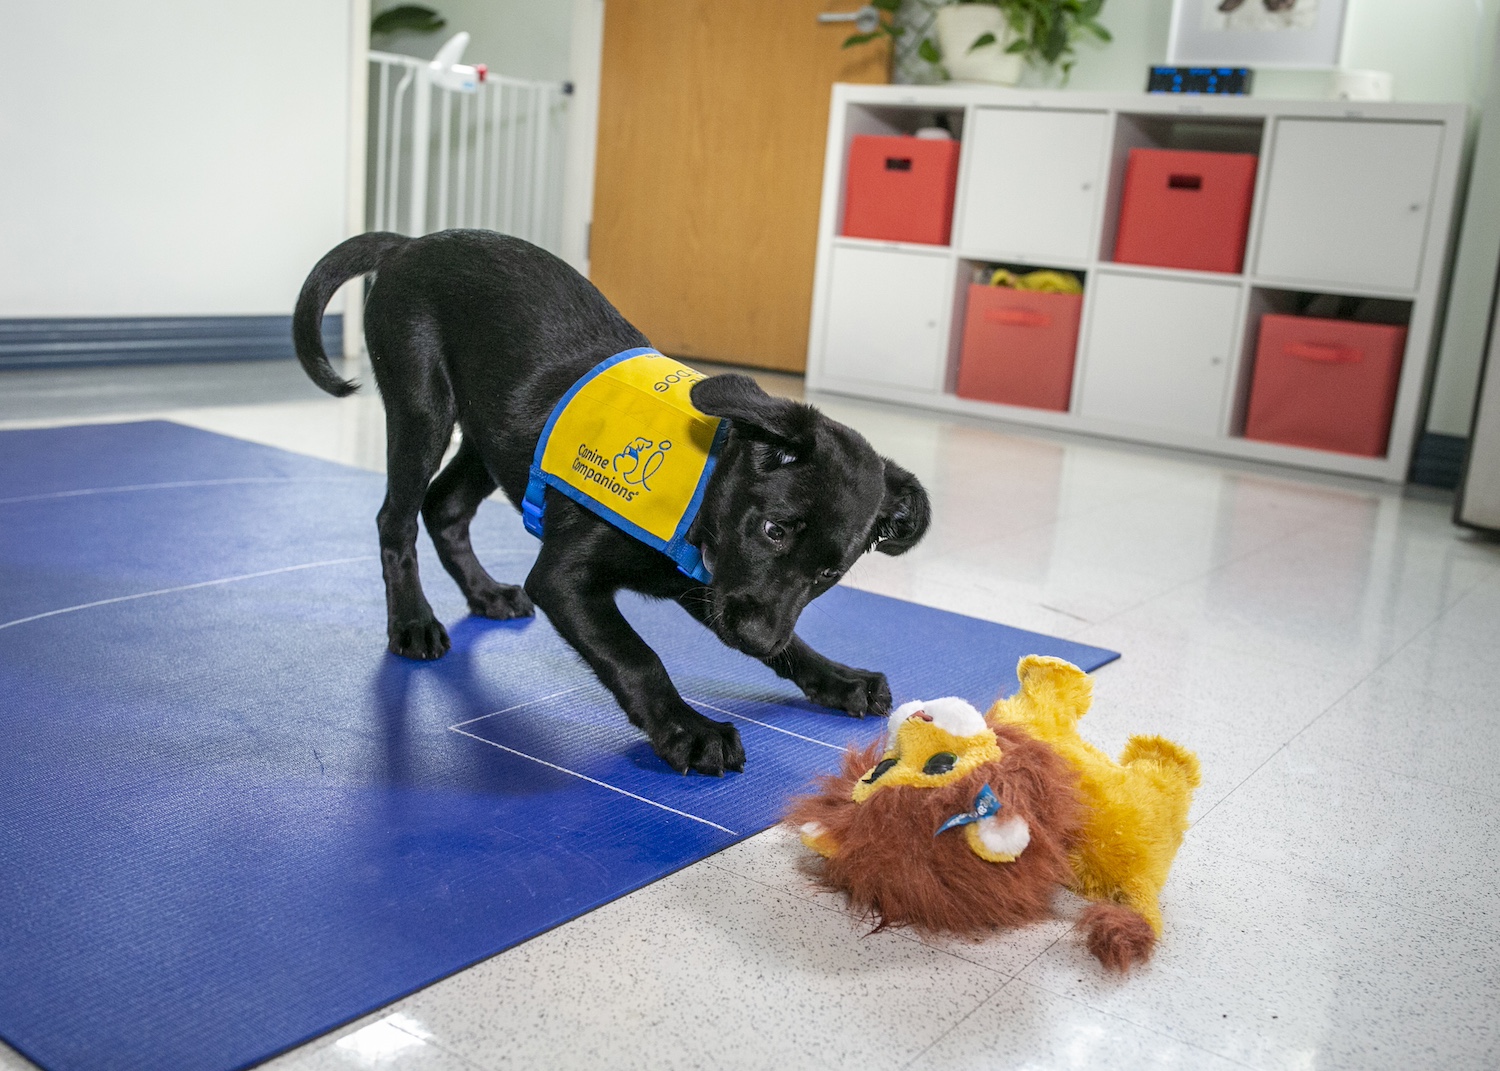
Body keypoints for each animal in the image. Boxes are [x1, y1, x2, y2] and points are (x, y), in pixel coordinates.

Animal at [291, 231, 924, 768]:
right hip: (422, 408)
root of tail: (409, 243)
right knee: (395, 520)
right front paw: (688, 730)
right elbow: (636, 657)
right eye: (773, 530)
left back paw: (485, 593)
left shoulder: (708, 588)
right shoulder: (565, 581)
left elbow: (790, 641)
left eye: (829, 574)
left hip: (488, 433)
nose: (754, 637)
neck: (705, 491)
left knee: (444, 507)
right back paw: (413, 623)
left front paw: (839, 679)